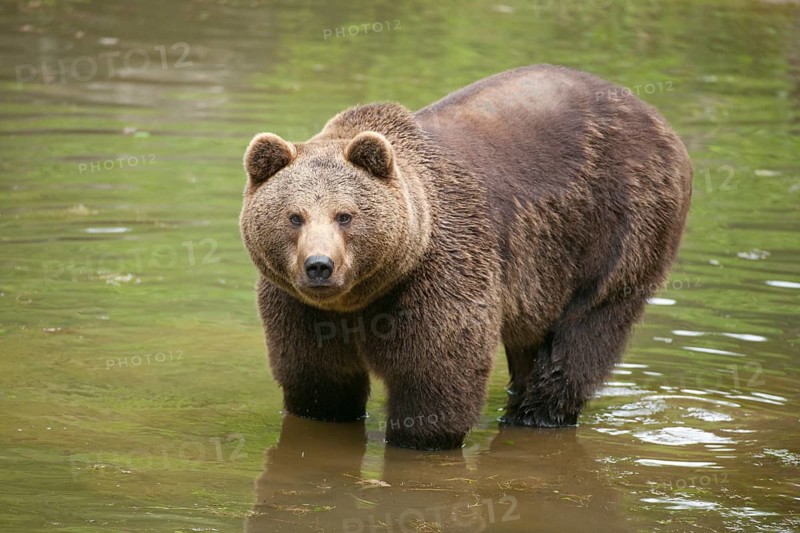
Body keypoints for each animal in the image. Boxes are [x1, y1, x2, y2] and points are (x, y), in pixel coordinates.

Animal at [239, 64, 692, 450]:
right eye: (294, 216)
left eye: (345, 215)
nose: (319, 265)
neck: (361, 296)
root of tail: (656, 117)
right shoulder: (301, 308)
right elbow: (319, 385)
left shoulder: (440, 271)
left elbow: (437, 376)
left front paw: (420, 435)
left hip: (618, 226)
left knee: (586, 331)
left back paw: (536, 414)